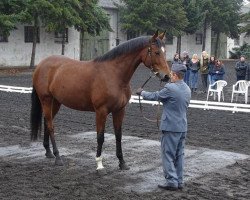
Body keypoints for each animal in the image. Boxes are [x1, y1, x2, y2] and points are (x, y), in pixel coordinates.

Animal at [30, 30, 171, 171]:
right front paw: (99, 163)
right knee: (50, 125)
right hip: (46, 100)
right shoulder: (101, 111)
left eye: (165, 52)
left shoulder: (120, 110)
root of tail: (41, 65)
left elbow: (118, 135)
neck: (113, 74)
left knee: (47, 122)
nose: (167, 76)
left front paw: (122, 162)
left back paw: (49, 152)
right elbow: (100, 136)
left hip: (56, 102)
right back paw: (58, 157)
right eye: (156, 52)